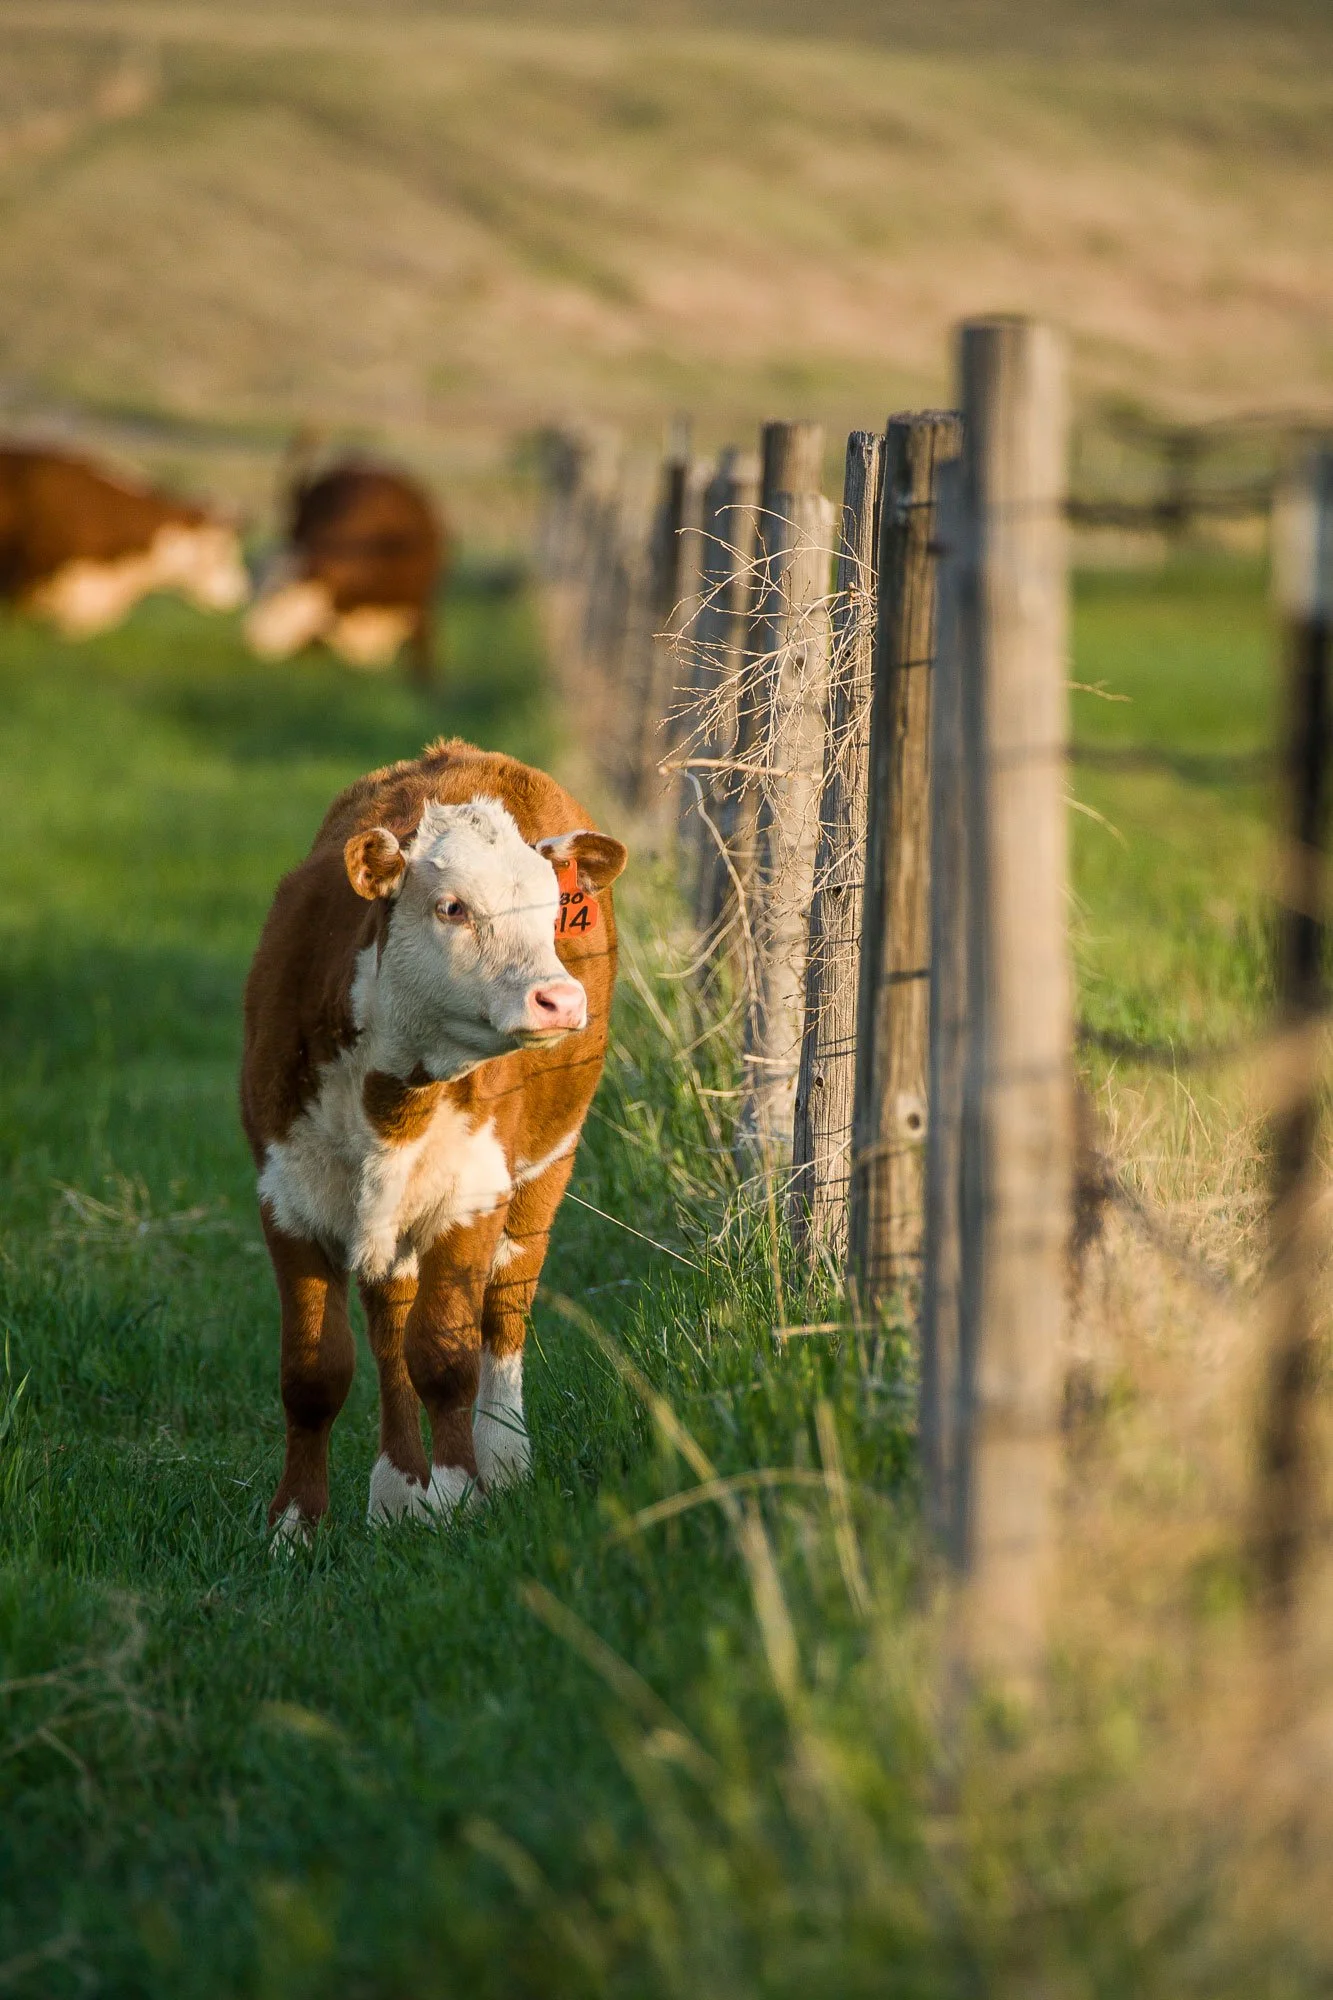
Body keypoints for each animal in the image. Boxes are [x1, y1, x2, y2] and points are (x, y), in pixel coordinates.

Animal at [240, 736, 627, 1543]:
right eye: (451, 907)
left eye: (553, 910)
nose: (560, 999)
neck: (390, 1094)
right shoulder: (285, 1195)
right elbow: (313, 1371)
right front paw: (296, 1523)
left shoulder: (472, 1194)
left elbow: (446, 1356)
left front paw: (458, 1495)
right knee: (390, 1323)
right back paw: (397, 1489)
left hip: (548, 1164)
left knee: (504, 1311)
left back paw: (501, 1462)